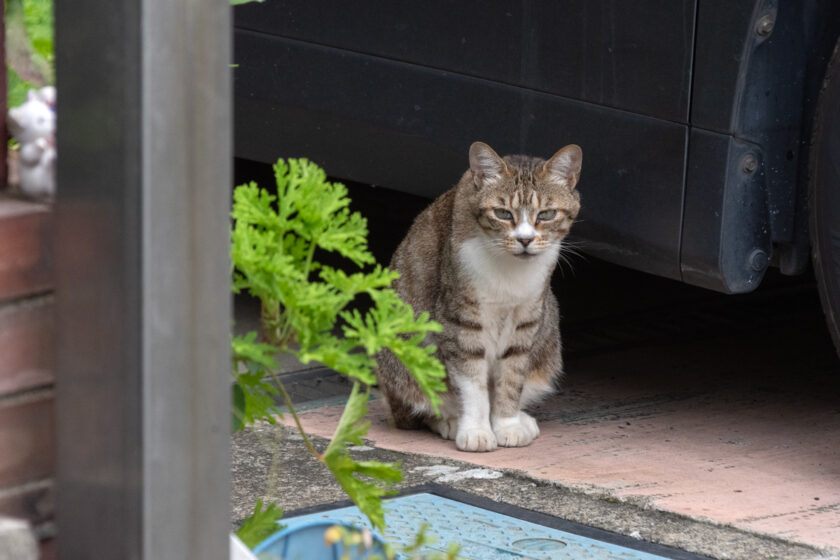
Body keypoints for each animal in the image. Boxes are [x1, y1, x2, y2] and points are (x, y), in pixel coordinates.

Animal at [378, 142, 580, 452]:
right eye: (503, 213)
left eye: (546, 214)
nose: (524, 240)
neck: (509, 268)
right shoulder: (461, 318)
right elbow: (472, 383)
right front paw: (475, 430)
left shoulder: (526, 319)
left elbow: (511, 378)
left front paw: (507, 424)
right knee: (417, 409)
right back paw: (449, 421)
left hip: (548, 340)